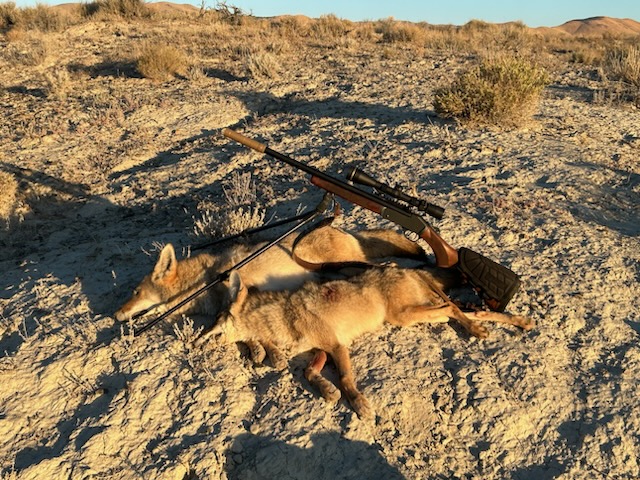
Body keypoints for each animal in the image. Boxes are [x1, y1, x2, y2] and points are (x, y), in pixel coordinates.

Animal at [203, 267, 533, 418]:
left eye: (215, 323)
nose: (197, 342)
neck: (284, 316)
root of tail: (406, 268)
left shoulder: (337, 347)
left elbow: (346, 378)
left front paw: (358, 402)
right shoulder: (321, 350)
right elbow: (310, 372)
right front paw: (327, 390)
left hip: (405, 316)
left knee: (453, 307)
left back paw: (479, 329)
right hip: (421, 314)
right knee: (469, 309)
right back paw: (516, 323)